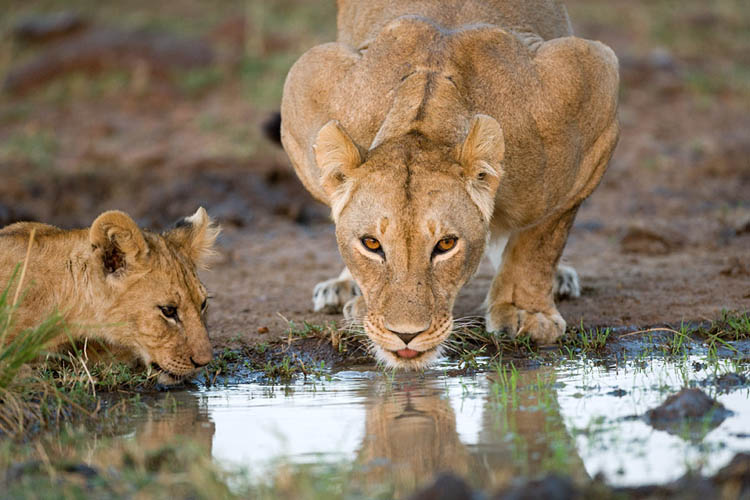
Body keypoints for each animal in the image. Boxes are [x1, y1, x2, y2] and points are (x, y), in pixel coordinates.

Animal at [281, 0, 619, 368]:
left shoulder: (592, 85)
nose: (406, 335)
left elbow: (542, 240)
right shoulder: (308, 78)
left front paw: (524, 312)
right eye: (371, 244)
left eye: (446, 245)